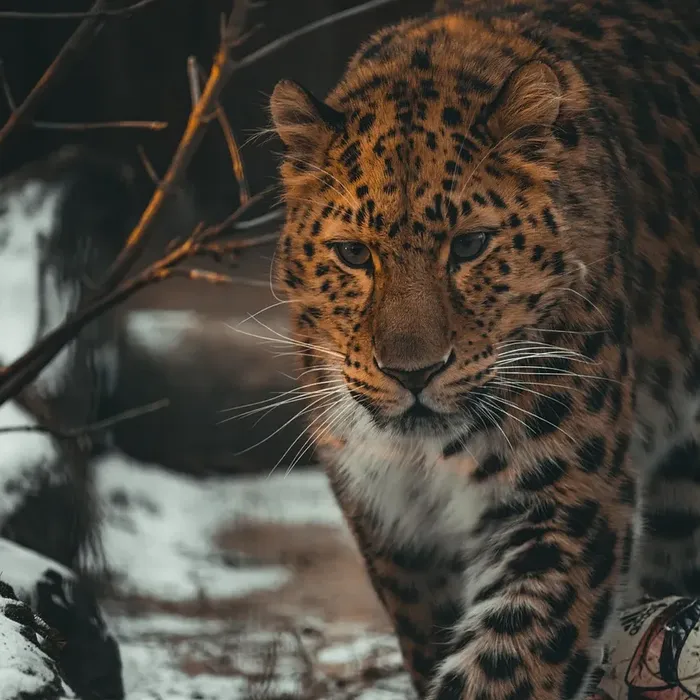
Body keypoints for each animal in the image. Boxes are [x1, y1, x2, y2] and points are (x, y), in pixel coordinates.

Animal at [268, 1, 700, 698]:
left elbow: (509, 663)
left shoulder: (565, 502)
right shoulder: (393, 527)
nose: (413, 373)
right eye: (354, 254)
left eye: (470, 246)